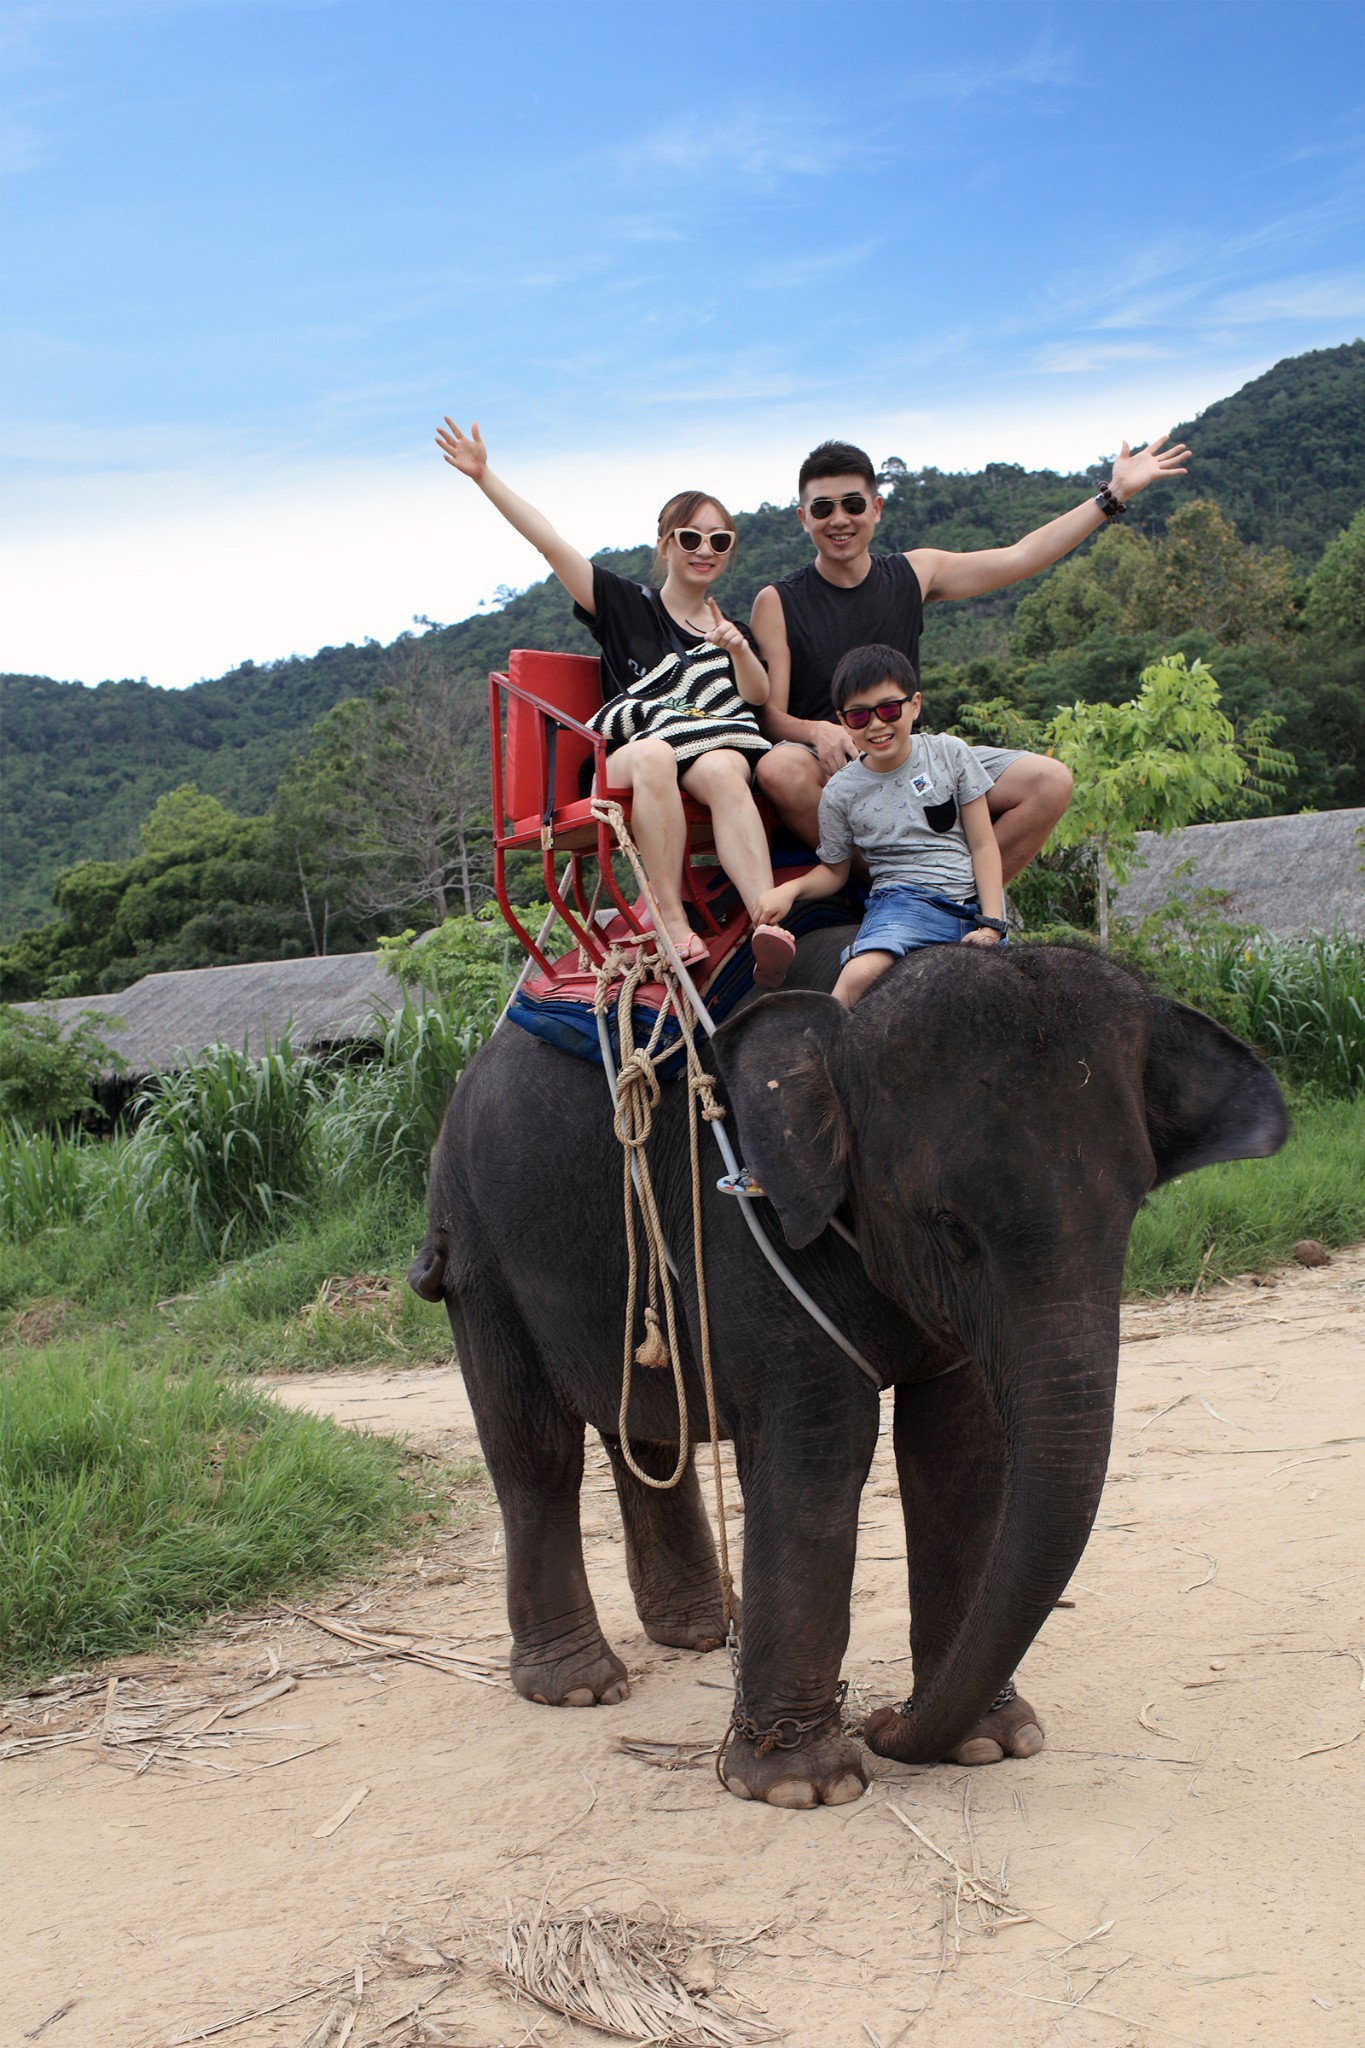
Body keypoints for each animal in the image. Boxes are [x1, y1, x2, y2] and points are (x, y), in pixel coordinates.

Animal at [411, 933, 1285, 1810]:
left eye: (1133, 1210)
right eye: (949, 1227)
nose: (885, 1723)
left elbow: (958, 1445)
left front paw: (988, 1745)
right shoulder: (747, 1223)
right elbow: (821, 1443)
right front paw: (803, 1787)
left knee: (651, 1431)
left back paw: (703, 1632)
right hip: (476, 1248)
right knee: (536, 1451)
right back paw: (581, 1687)